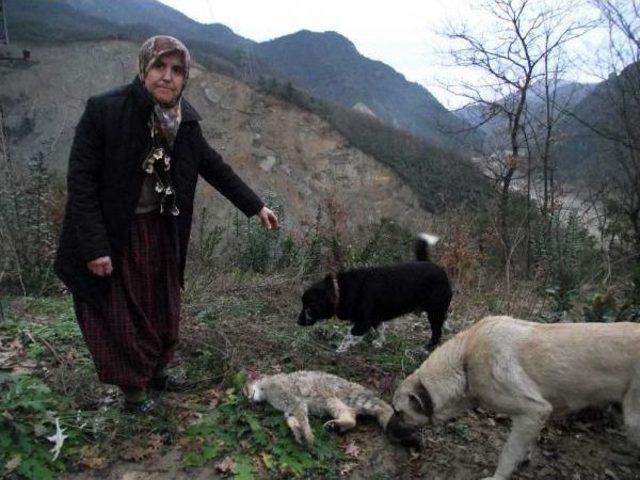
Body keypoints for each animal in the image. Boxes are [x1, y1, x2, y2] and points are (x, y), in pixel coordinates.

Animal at [246, 372, 392, 446]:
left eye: (245, 390)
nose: (248, 398)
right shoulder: (289, 409)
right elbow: (292, 419)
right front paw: (296, 431)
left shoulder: (293, 400)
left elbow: (302, 417)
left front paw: (308, 434)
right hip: (333, 401)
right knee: (350, 414)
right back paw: (339, 423)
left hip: (350, 397)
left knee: (377, 408)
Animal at [298, 235, 452, 352]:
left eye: (309, 307)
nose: (298, 322)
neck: (340, 290)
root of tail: (439, 269)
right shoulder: (375, 318)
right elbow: (380, 330)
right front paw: (379, 343)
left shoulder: (363, 323)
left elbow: (349, 336)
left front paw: (339, 350)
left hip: (435, 312)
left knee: (437, 333)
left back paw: (426, 348)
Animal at [384, 316, 640, 480]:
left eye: (399, 412)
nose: (385, 431)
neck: (465, 361)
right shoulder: (534, 419)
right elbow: (522, 445)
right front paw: (524, 458)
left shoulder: (534, 410)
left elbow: (507, 453)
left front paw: (498, 476)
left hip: (633, 417)